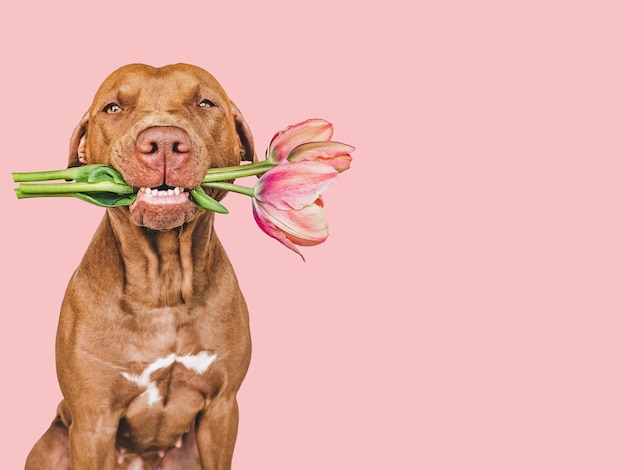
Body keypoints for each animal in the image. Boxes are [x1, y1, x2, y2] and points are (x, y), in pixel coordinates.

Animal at [24, 63, 254, 470]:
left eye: (204, 102)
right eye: (114, 108)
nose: (162, 142)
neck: (163, 284)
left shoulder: (221, 409)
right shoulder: (93, 421)